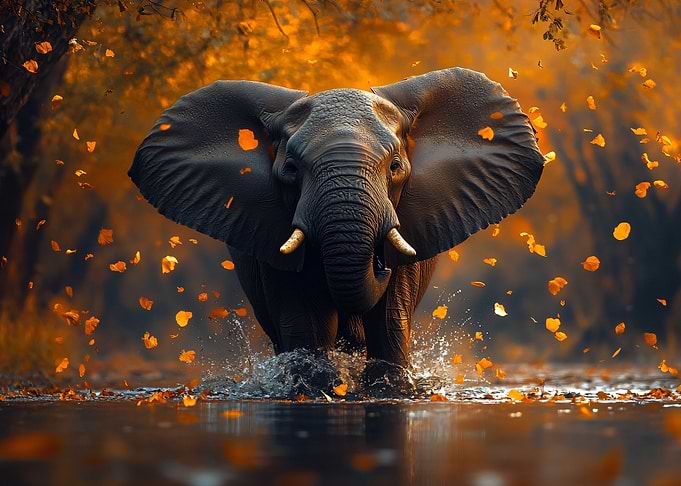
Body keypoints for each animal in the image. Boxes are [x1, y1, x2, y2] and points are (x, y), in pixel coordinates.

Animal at [129, 67, 544, 384]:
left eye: (395, 166)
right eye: (291, 169)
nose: (378, 262)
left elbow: (389, 319)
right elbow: (305, 322)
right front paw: (317, 386)